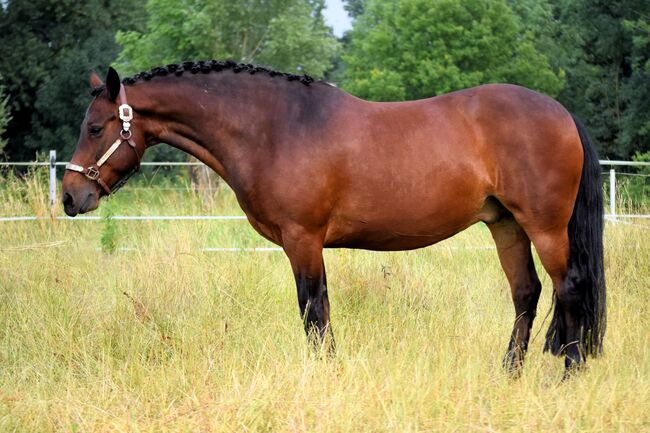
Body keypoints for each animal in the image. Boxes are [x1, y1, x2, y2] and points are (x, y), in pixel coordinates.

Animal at [60, 61, 604, 374]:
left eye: (95, 127)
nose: (70, 196)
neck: (275, 127)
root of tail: (561, 113)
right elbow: (316, 309)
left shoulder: (303, 239)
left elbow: (313, 309)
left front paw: (325, 372)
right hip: (505, 224)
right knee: (527, 292)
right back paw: (509, 372)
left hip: (544, 227)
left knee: (570, 287)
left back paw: (571, 370)